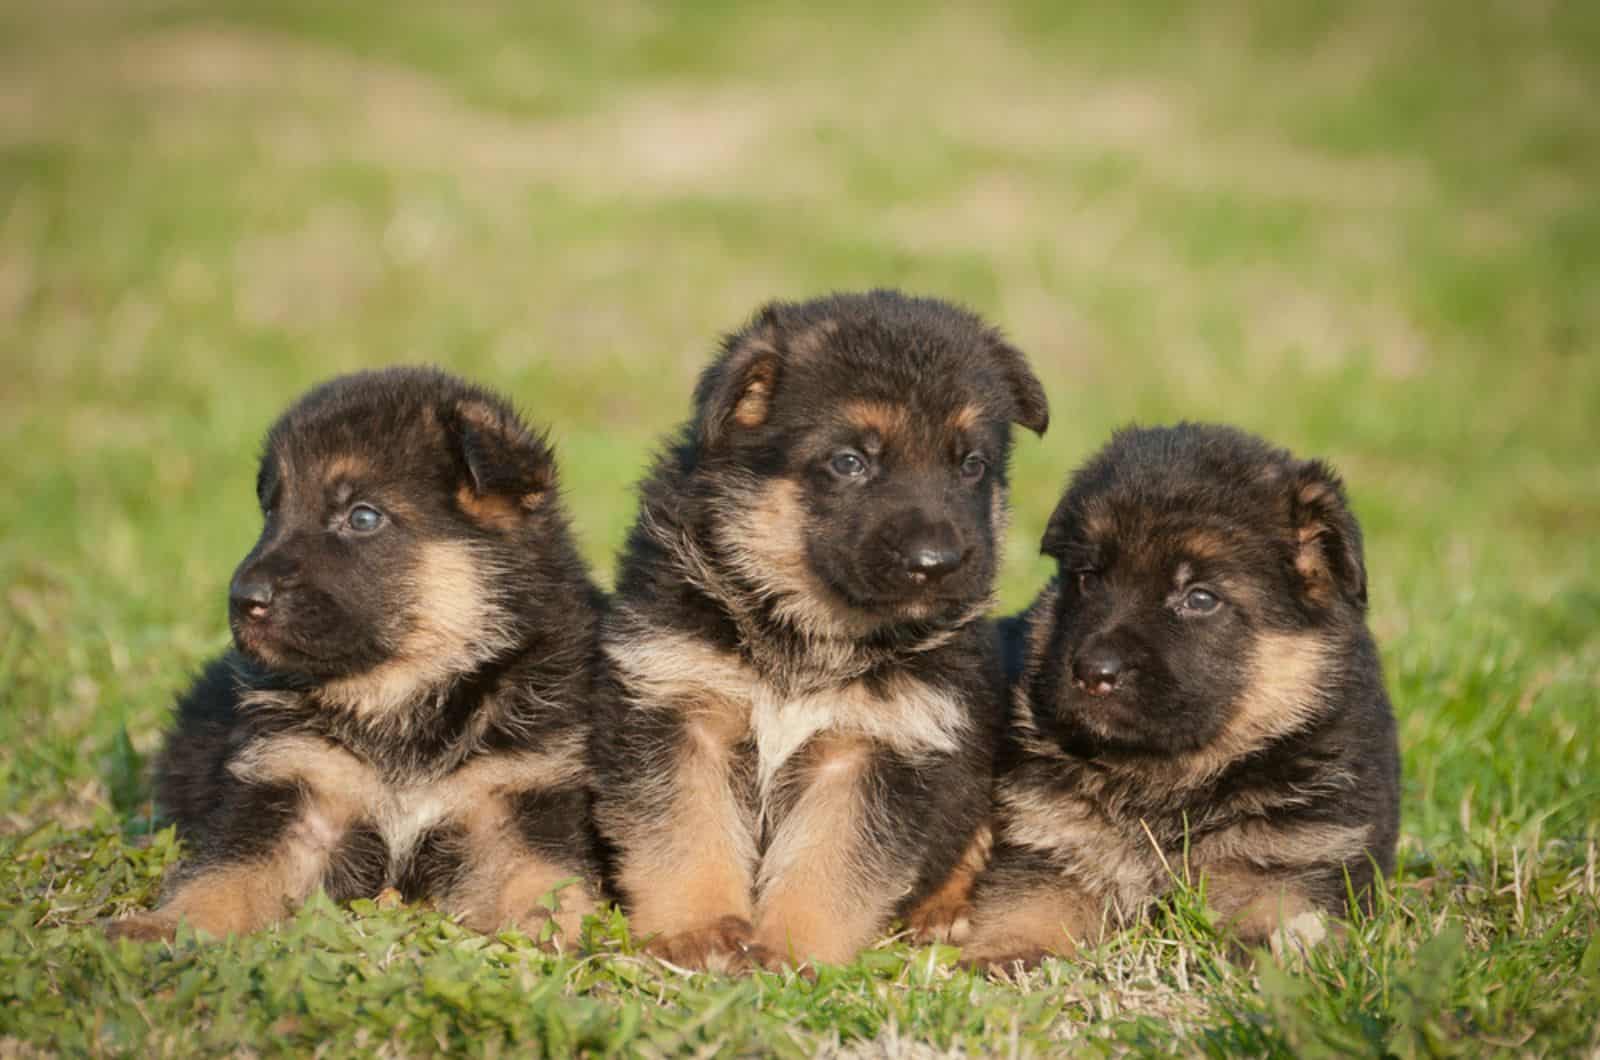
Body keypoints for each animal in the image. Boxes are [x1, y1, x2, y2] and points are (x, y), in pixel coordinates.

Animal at [106, 368, 604, 947]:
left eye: (362, 517)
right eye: (272, 510)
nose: (242, 598)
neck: (403, 695)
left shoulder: (514, 802)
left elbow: (546, 883)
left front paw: (582, 936)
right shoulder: (296, 793)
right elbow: (225, 877)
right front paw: (162, 926)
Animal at [588, 288, 1049, 973]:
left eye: (971, 465)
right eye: (850, 462)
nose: (937, 563)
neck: (808, 634)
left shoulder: (878, 752)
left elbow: (831, 865)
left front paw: (788, 952)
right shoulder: (677, 712)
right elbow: (684, 833)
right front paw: (699, 931)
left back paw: (946, 912)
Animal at [960, 422, 1401, 973]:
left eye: (1200, 598)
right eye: (1087, 578)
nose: (1092, 672)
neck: (1171, 777)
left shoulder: (1288, 859)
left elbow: (1277, 916)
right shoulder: (1052, 843)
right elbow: (1028, 903)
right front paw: (1003, 952)